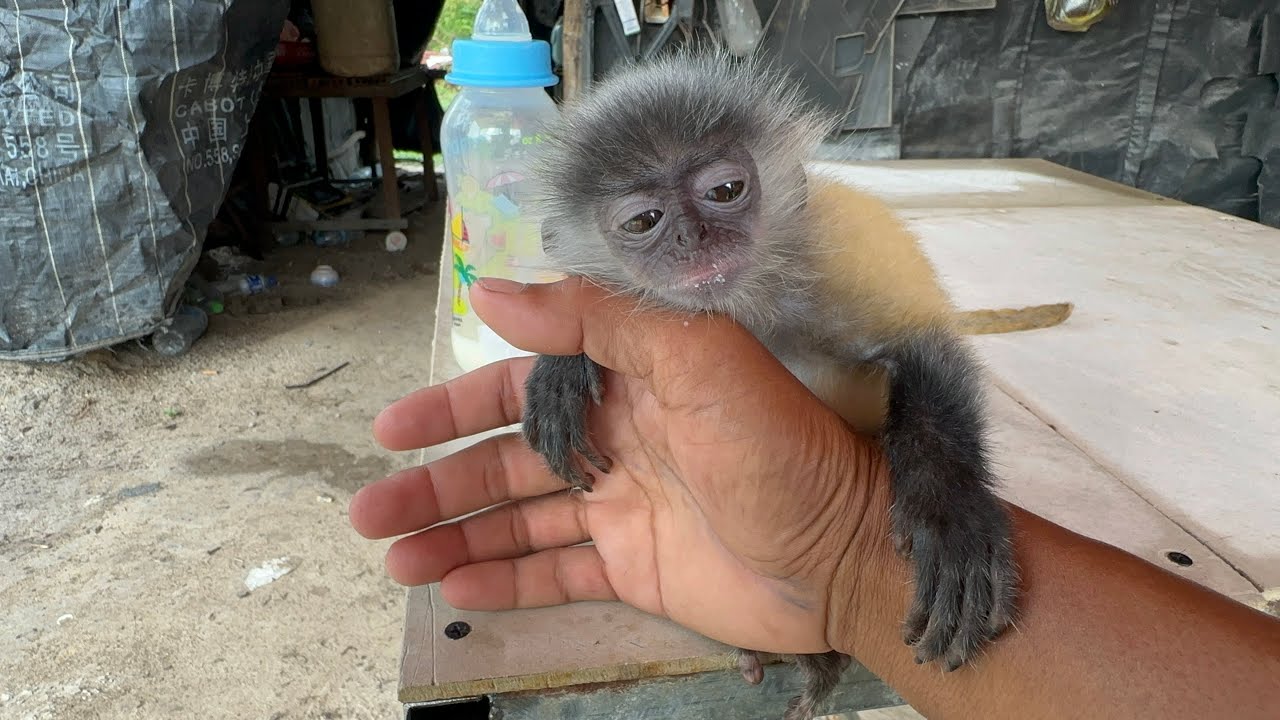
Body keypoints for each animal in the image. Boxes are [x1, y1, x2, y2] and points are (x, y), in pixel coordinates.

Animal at [517, 47, 1019, 720]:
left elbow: (922, 345)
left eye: (725, 191)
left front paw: (950, 511)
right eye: (645, 220)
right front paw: (562, 365)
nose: (693, 236)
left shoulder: (835, 252)